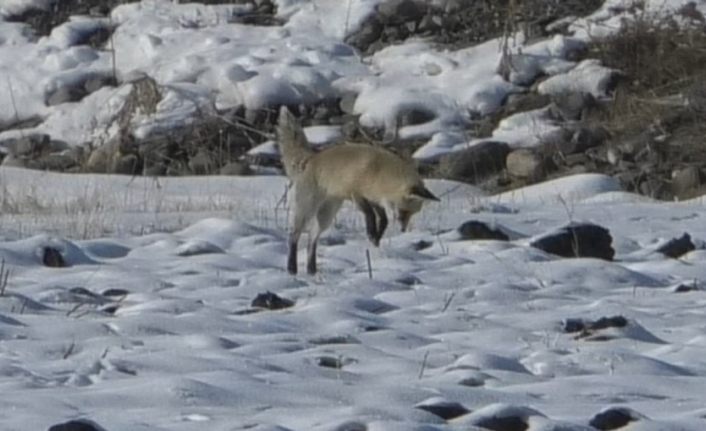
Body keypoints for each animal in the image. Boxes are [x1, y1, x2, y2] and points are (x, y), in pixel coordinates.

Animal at [276, 106, 438, 276]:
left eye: (412, 214)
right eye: (404, 211)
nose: (403, 229)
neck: (380, 174)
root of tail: (312, 157)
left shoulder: (375, 199)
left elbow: (384, 220)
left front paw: (376, 237)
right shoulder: (357, 194)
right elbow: (370, 215)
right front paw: (372, 233)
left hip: (326, 216)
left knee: (311, 240)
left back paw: (311, 270)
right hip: (306, 209)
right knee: (294, 235)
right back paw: (292, 268)